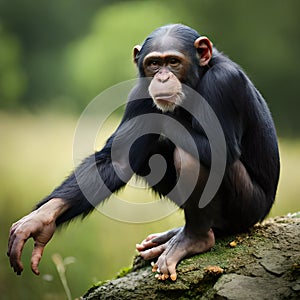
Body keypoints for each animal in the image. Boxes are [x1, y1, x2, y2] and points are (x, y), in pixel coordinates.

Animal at [7, 24, 278, 282]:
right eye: (154, 64)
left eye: (173, 62)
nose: (162, 77)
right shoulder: (138, 92)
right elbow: (118, 159)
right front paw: (40, 219)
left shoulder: (225, 82)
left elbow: (221, 148)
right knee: (152, 155)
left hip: (248, 209)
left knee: (191, 156)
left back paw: (193, 239)